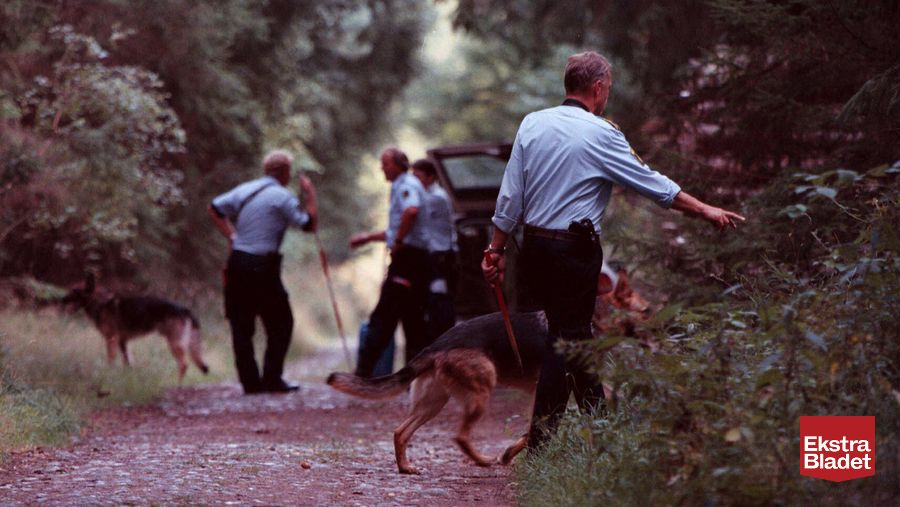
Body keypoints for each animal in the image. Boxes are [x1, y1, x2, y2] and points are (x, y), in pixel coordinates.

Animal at [63, 274, 211, 380]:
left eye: (74, 292)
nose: (61, 300)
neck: (101, 303)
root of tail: (185, 309)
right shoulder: (123, 342)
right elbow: (128, 363)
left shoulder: (111, 340)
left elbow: (111, 361)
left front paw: (108, 375)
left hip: (174, 344)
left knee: (184, 365)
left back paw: (177, 385)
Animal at [326, 268, 652, 474]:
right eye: (648, 311)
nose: (665, 328)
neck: (596, 320)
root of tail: (437, 344)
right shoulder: (554, 389)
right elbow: (533, 429)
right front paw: (508, 454)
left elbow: (534, 429)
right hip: (480, 390)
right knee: (459, 436)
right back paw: (482, 460)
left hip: (434, 402)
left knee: (400, 432)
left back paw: (406, 467)